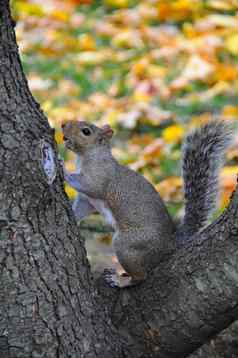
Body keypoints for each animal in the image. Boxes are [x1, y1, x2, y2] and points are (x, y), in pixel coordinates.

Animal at [61, 120, 232, 288]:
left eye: (86, 131)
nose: (63, 124)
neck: (88, 155)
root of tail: (169, 245)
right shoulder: (87, 201)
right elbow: (82, 208)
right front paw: (73, 217)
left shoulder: (99, 178)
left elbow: (90, 185)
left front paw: (63, 169)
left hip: (127, 245)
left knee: (140, 276)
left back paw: (120, 280)